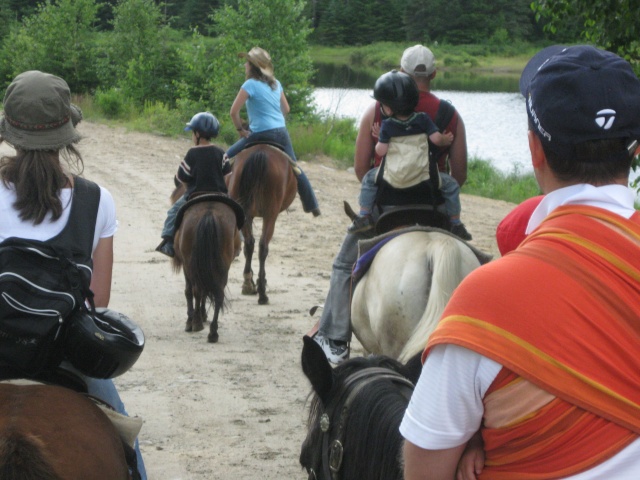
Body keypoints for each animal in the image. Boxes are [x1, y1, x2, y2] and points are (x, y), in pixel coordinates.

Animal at [171, 188, 244, 342]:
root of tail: (209, 213)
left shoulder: (187, 266)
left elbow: (190, 291)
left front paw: (193, 319)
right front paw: (202, 315)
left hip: (192, 265)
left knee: (197, 290)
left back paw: (196, 323)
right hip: (222, 266)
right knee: (218, 294)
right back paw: (213, 332)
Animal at [228, 142, 298, 306]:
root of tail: (260, 153)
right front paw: (262, 281)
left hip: (244, 210)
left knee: (249, 243)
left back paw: (248, 283)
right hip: (270, 215)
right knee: (263, 246)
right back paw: (262, 293)